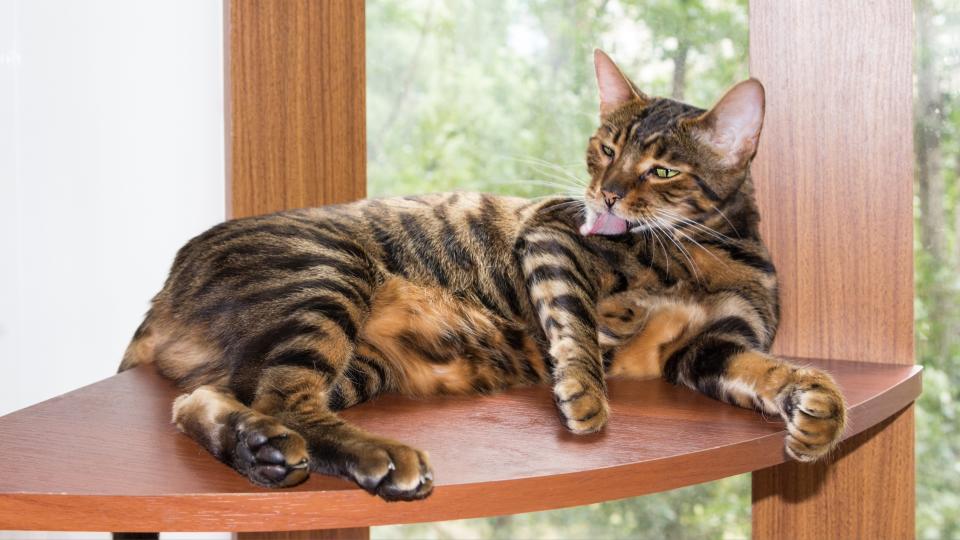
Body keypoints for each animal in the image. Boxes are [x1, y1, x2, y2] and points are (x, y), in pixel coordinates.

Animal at [120, 50, 848, 502]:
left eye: (663, 169)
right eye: (606, 148)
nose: (607, 194)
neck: (707, 250)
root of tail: (162, 292)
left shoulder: (711, 347)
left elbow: (775, 372)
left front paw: (817, 412)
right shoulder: (555, 235)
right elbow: (575, 320)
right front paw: (585, 395)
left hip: (356, 362)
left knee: (209, 400)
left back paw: (264, 448)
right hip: (327, 278)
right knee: (281, 398)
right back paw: (380, 456)